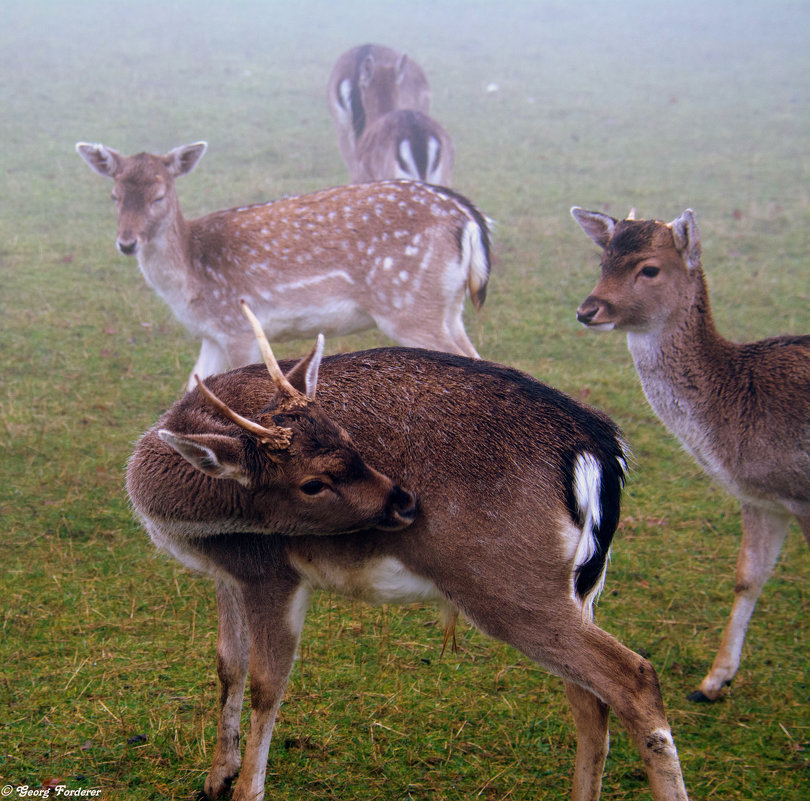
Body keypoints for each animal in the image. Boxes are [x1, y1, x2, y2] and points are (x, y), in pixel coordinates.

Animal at [76, 141, 490, 390]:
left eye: (159, 196)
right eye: (114, 196)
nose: (127, 242)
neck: (192, 279)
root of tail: (468, 218)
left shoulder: (239, 326)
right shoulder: (212, 334)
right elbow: (192, 389)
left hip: (408, 306)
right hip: (448, 305)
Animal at [128, 300, 688, 800]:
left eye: (350, 438)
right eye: (313, 483)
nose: (403, 500)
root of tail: (603, 449)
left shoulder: (273, 572)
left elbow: (269, 683)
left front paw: (247, 790)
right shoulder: (229, 572)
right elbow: (228, 664)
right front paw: (215, 778)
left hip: (507, 584)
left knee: (633, 677)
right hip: (580, 588)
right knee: (590, 701)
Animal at [568, 205, 808, 700]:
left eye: (649, 269)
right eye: (604, 260)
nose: (588, 310)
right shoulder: (764, 499)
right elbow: (747, 577)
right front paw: (713, 681)